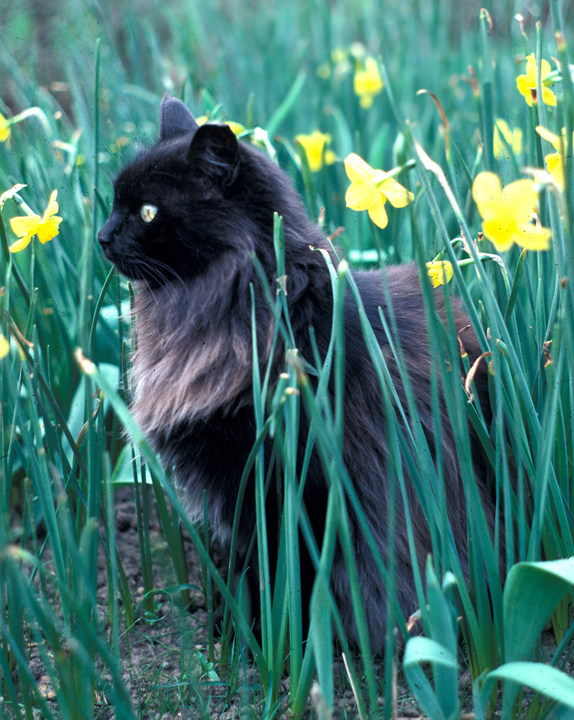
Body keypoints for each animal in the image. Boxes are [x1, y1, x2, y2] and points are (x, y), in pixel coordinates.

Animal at [98, 94, 496, 652]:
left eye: (148, 212)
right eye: (115, 203)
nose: (102, 236)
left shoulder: (278, 479)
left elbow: (277, 576)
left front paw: (265, 646)